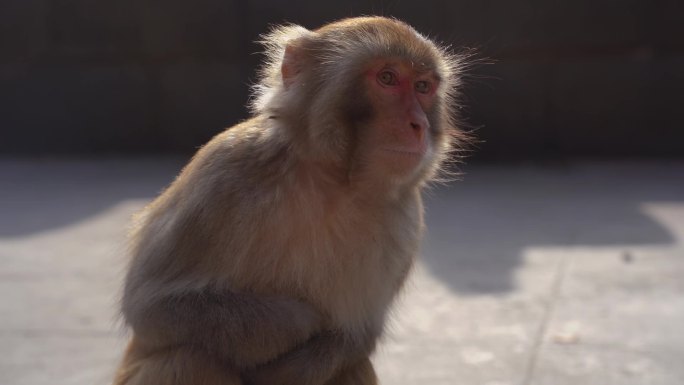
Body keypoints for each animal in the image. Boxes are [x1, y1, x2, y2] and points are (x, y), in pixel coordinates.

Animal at [113, 15, 464, 384]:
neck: (335, 184)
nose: (418, 124)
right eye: (387, 78)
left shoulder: (406, 219)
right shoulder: (224, 173)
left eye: (423, 86)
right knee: (189, 357)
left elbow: (358, 337)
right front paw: (300, 321)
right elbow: (152, 306)